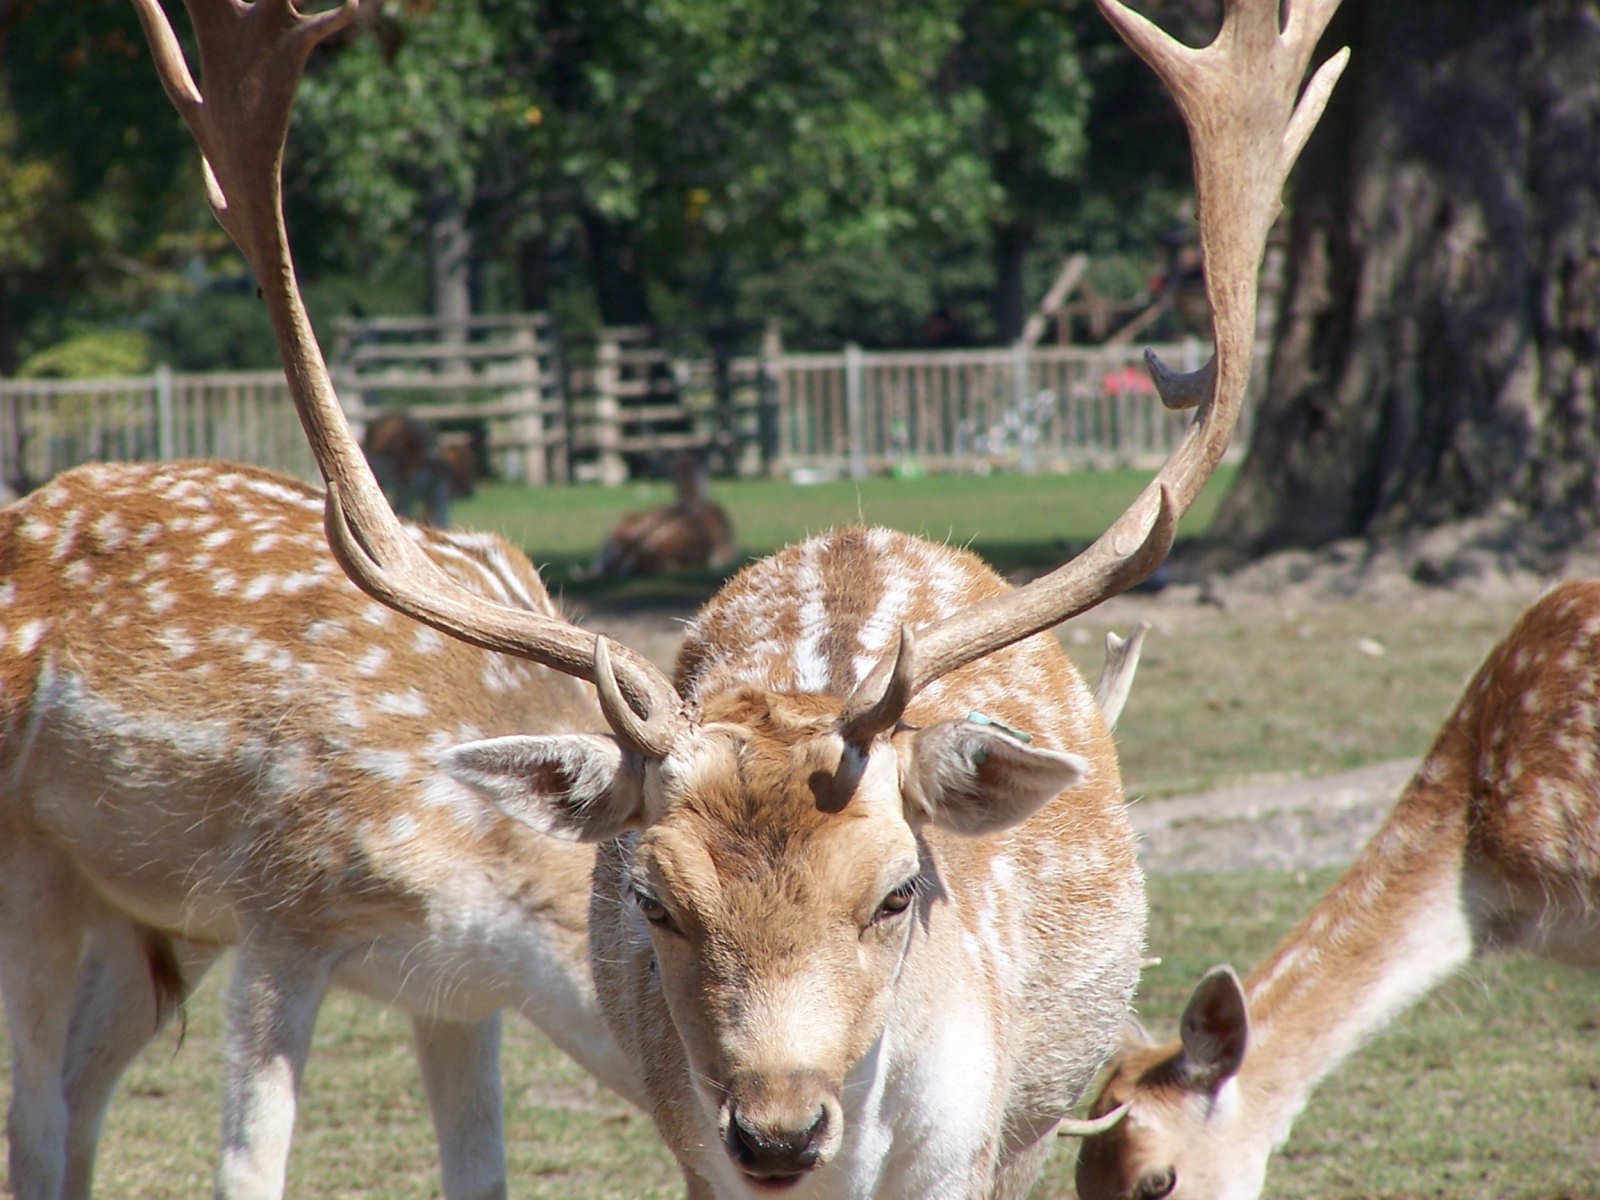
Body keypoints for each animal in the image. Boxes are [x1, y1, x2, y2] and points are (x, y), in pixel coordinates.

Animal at [4, 454, 643, 1196]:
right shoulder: (282, 912)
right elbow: (247, 1167)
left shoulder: (460, 991)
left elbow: (481, 1176)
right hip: (30, 863)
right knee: (34, 1116)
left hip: (165, 919)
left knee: (80, 1092)